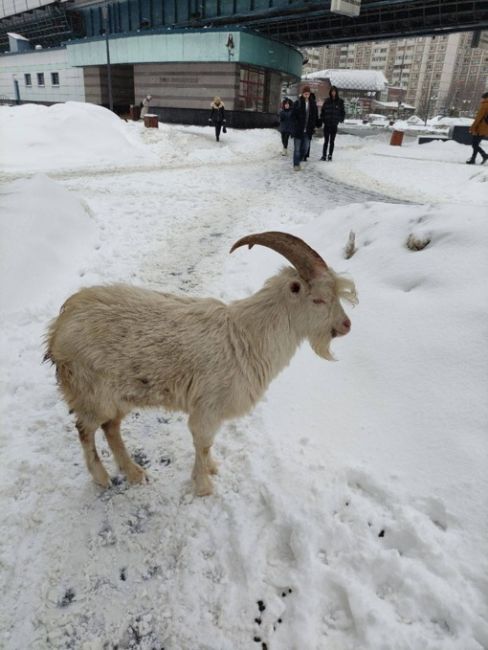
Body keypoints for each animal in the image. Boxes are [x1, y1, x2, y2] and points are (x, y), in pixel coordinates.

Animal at [45, 230, 356, 494]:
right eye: (318, 299)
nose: (346, 325)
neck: (248, 337)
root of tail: (60, 324)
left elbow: (207, 446)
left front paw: (212, 469)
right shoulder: (208, 407)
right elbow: (203, 443)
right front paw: (204, 486)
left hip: (120, 394)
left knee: (111, 428)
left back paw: (134, 473)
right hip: (92, 392)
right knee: (85, 429)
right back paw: (102, 478)